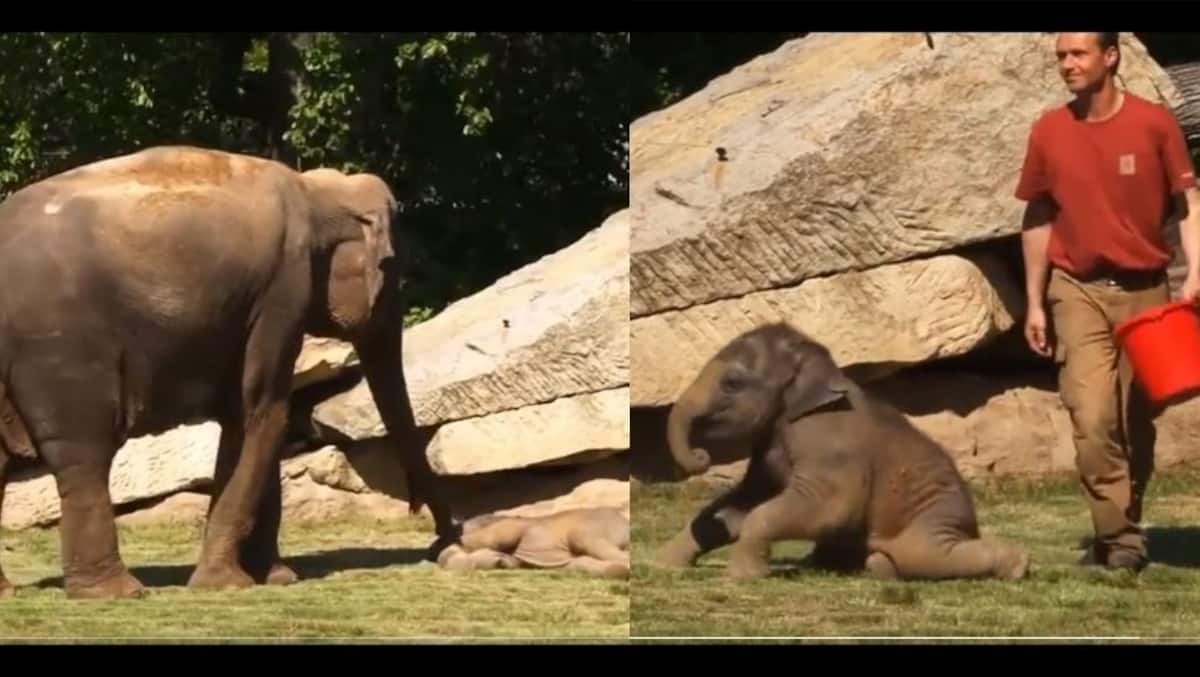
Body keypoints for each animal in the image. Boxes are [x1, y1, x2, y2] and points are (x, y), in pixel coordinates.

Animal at [0, 145, 457, 599]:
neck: (316, 189)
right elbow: (263, 411)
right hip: (61, 349)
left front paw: (277, 577)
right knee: (85, 453)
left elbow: (256, 418)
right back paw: (117, 591)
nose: (445, 544)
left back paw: (12, 592)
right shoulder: (282, 291)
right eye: (392, 270)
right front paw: (224, 582)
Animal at [654, 322, 1030, 582]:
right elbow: (743, 503)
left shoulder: (832, 449)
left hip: (932, 518)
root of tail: (970, 521)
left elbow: (826, 508)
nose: (701, 457)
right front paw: (664, 563)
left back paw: (1017, 565)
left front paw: (741, 577)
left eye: (732, 383)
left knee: (927, 555)